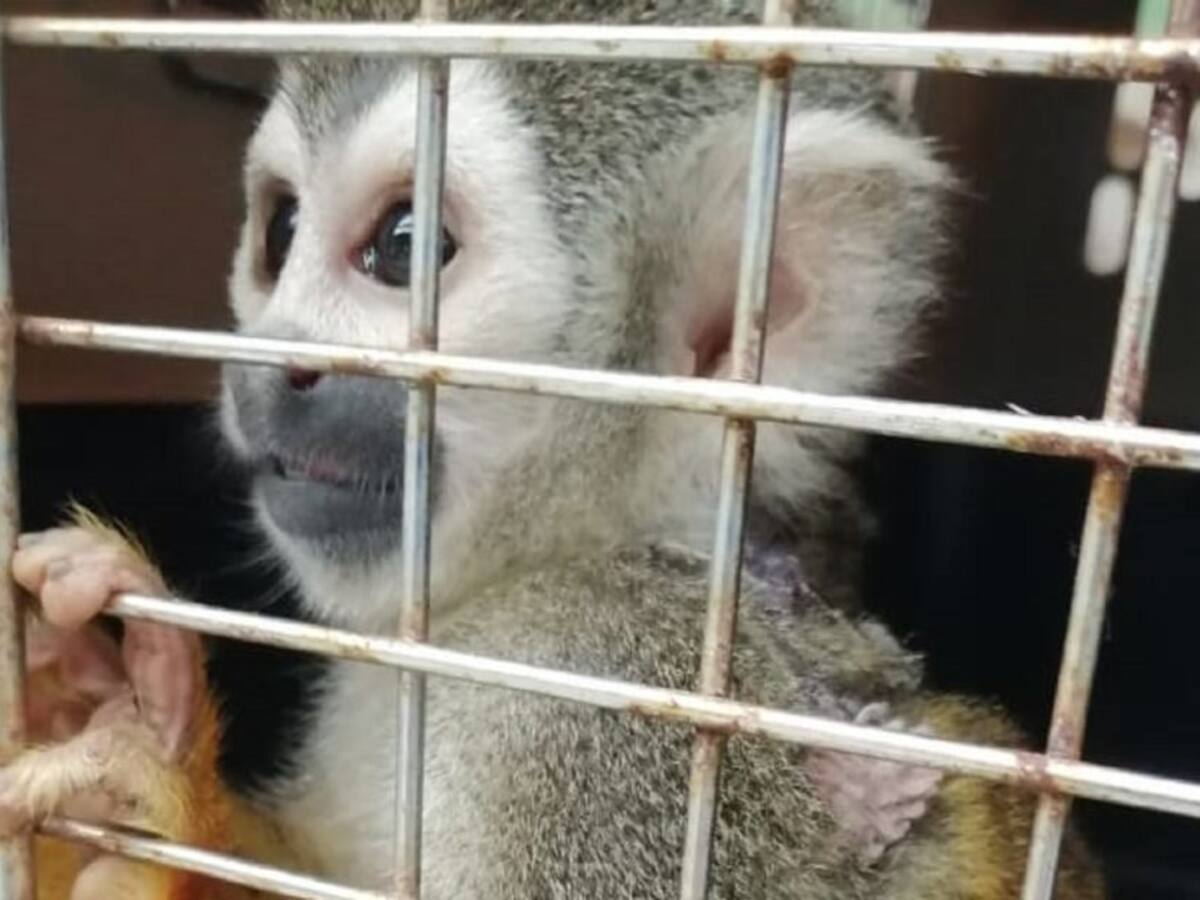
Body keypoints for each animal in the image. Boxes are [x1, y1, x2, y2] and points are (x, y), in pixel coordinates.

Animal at [0, 0, 1108, 897]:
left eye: (403, 246)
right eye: (280, 230)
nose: (265, 374)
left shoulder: (602, 708)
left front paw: (161, 797)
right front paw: (81, 697)